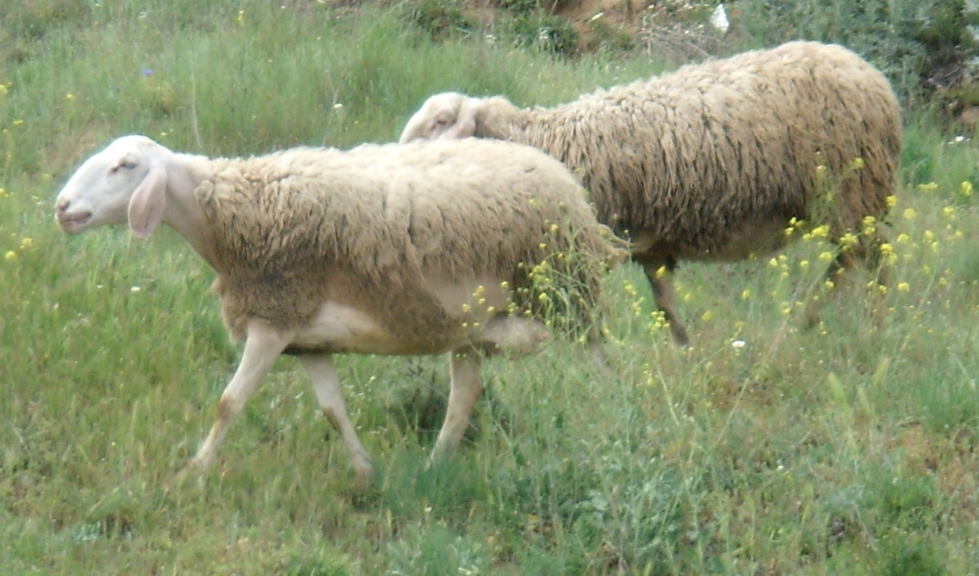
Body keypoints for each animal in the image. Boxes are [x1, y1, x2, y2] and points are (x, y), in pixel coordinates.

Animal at [53, 134, 624, 482]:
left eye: (125, 166)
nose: (61, 207)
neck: (229, 219)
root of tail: (565, 178)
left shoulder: (273, 318)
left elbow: (228, 403)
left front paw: (191, 475)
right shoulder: (306, 339)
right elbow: (333, 409)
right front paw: (365, 471)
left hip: (569, 297)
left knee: (599, 368)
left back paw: (607, 424)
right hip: (466, 321)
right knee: (465, 395)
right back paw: (434, 465)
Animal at [400, 42, 904, 346]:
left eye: (442, 121)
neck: (550, 142)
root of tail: (873, 76)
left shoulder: (586, 245)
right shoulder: (649, 243)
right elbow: (665, 303)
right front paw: (684, 351)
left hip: (853, 191)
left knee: (871, 258)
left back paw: (870, 327)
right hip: (847, 200)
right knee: (850, 257)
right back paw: (811, 321)